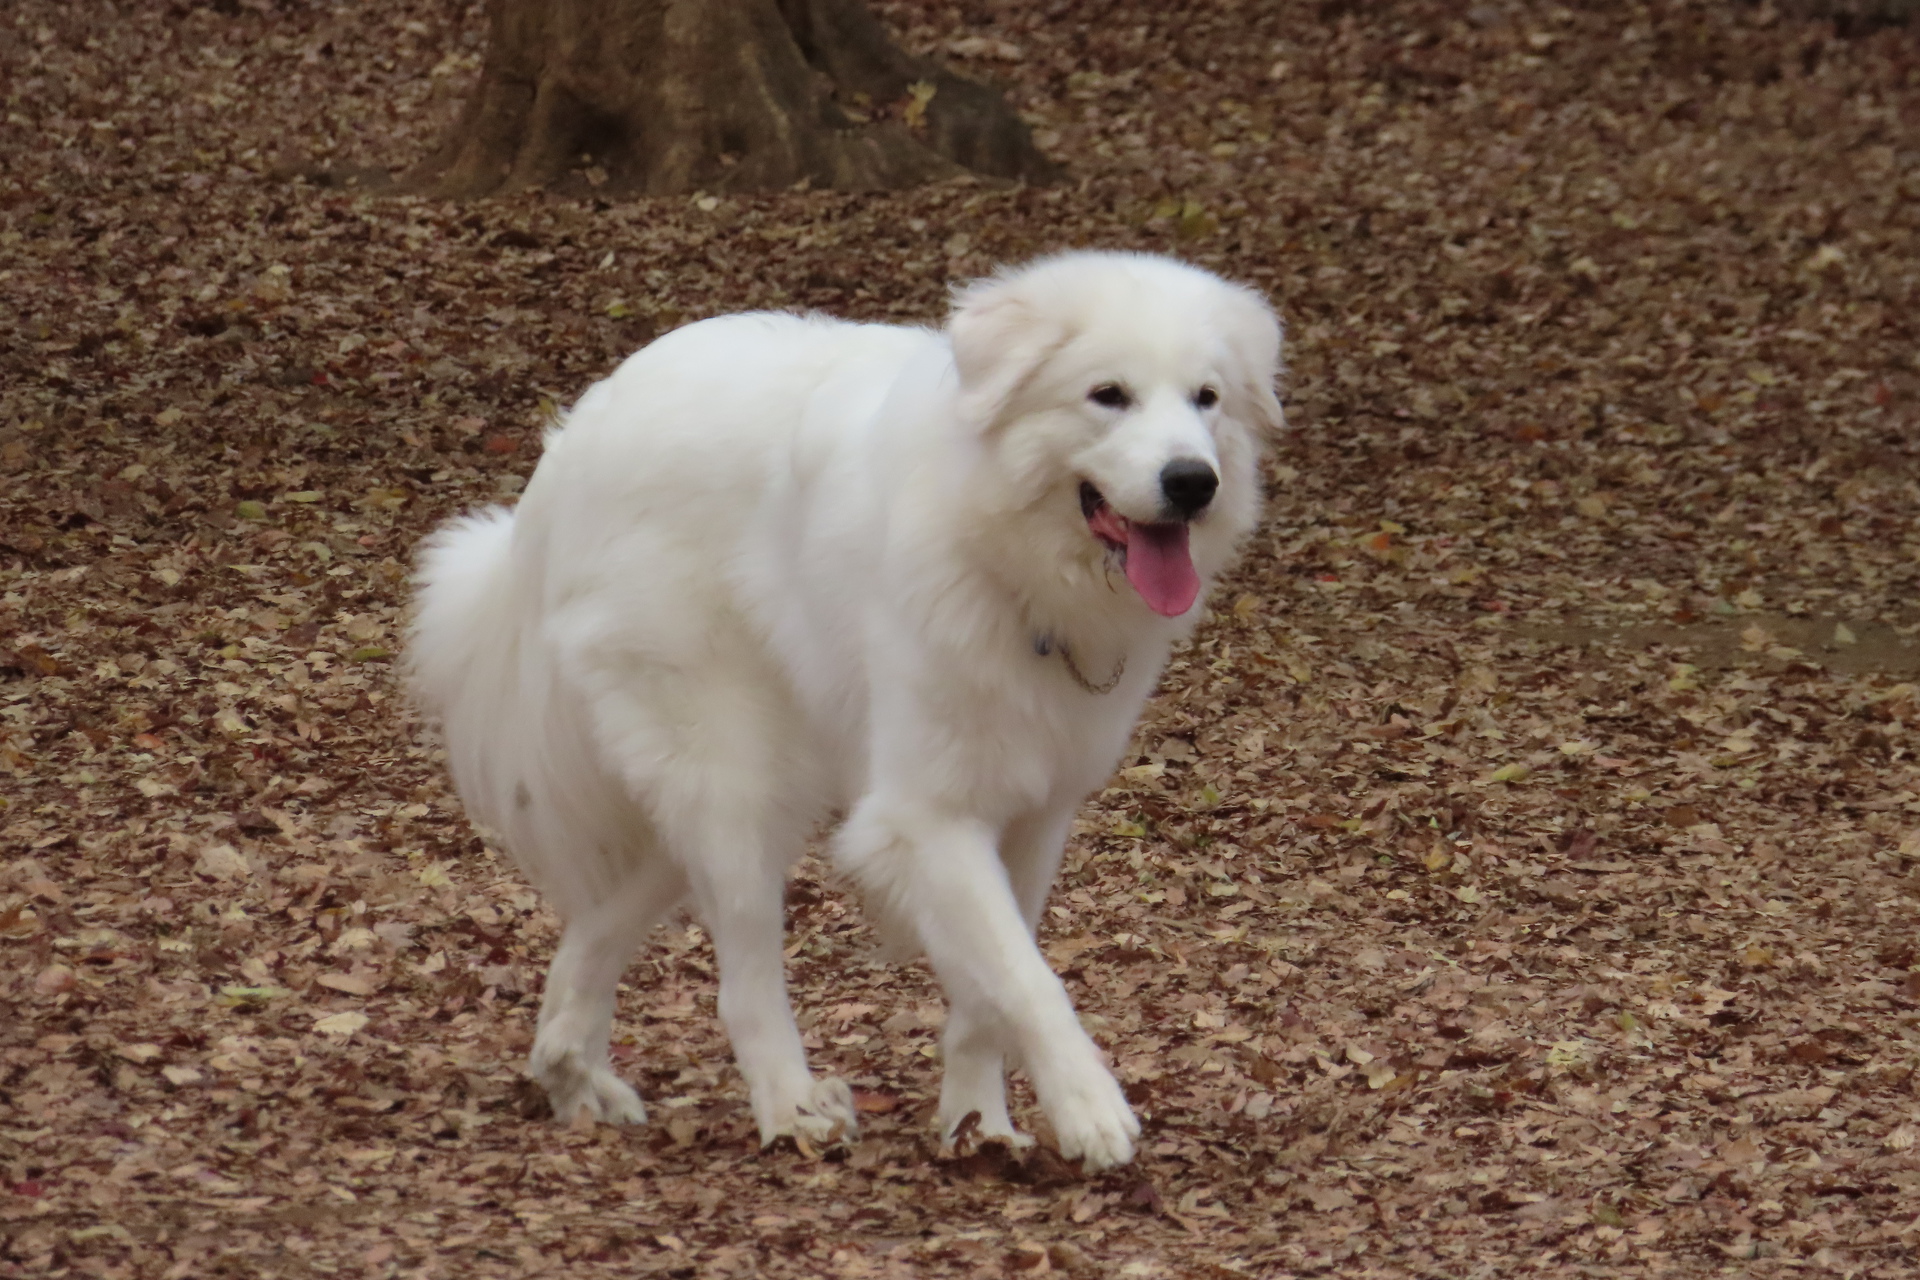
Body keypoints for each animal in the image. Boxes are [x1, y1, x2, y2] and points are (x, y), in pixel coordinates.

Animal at [410, 253, 1282, 1174]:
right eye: (1107, 394)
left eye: (1206, 398)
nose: (1192, 482)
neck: (1005, 556)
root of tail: (575, 438)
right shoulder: (927, 816)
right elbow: (1027, 978)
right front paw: (1088, 1108)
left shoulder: (1032, 817)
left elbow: (988, 989)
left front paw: (979, 1124)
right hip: (731, 779)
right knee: (742, 982)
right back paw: (791, 1108)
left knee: (599, 921)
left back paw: (571, 1071)